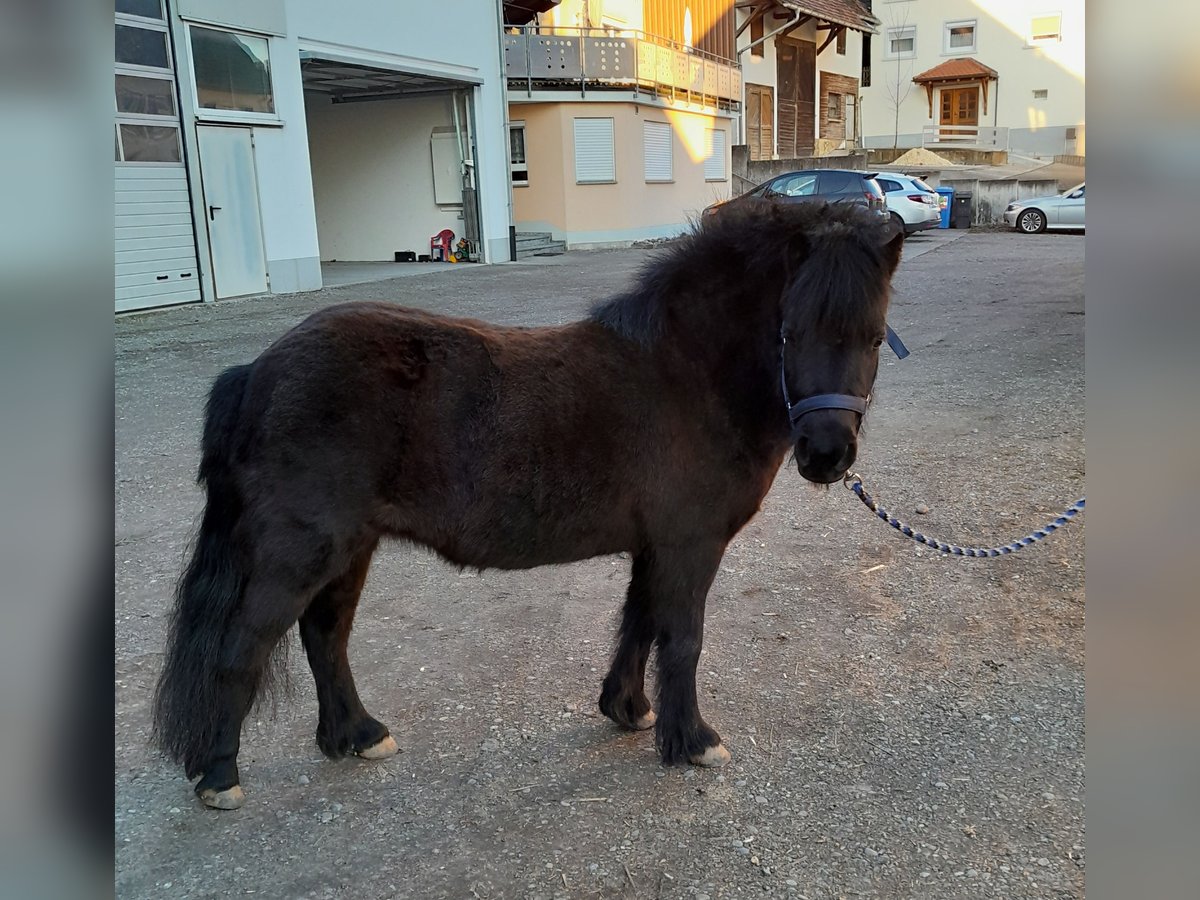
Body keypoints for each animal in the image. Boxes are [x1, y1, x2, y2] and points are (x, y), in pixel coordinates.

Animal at [152, 202, 902, 811]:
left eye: (872, 336)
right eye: (790, 331)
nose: (826, 455)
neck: (687, 373)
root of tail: (259, 371)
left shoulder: (654, 545)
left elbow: (640, 624)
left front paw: (627, 709)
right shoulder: (689, 545)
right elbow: (683, 639)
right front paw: (693, 740)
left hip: (348, 548)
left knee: (324, 637)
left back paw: (356, 735)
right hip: (300, 549)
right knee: (244, 644)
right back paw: (219, 775)